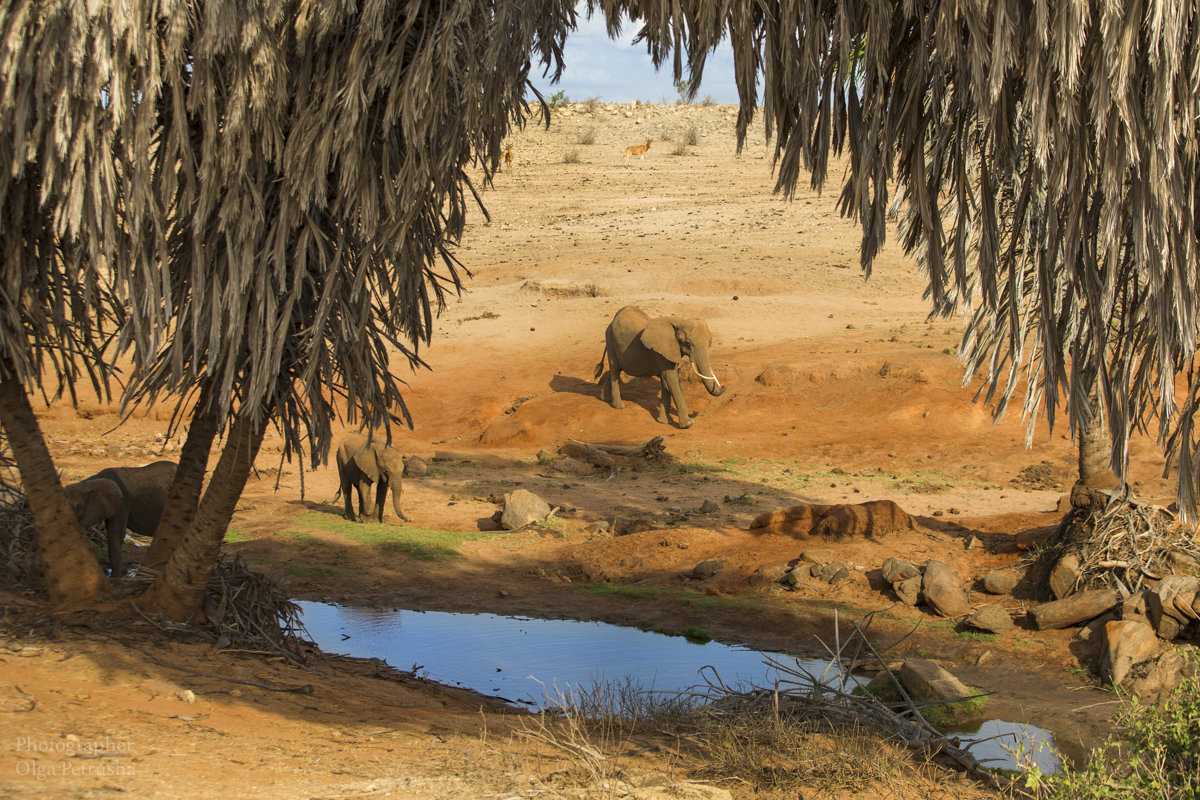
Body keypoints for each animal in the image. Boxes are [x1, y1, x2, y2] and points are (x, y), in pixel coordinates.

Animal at [595, 303, 724, 429]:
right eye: (687, 343)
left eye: (709, 343)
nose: (723, 387)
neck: (679, 321)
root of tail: (613, 320)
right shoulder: (661, 352)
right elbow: (671, 378)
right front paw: (687, 424)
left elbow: (666, 381)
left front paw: (664, 421)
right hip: (610, 341)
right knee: (615, 370)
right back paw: (619, 406)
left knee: (615, 371)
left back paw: (604, 399)